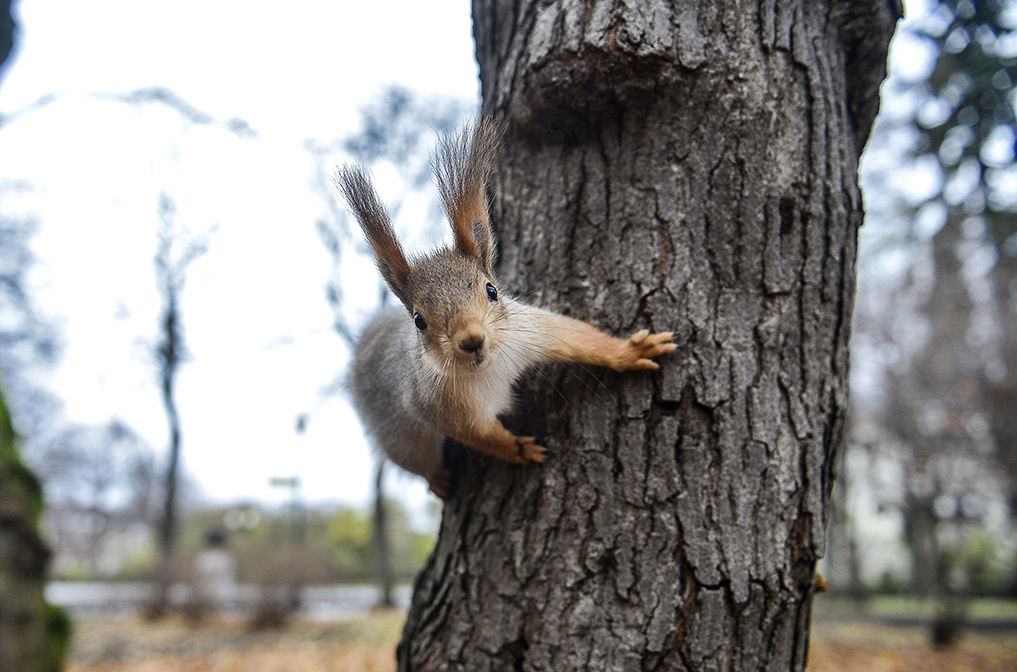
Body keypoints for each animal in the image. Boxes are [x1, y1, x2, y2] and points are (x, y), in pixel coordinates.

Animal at [333, 119, 679, 498]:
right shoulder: (438, 407)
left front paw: (630, 351)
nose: (472, 340)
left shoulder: (529, 331)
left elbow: (578, 337)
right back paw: (436, 479)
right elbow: (482, 436)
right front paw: (518, 449)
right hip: (401, 441)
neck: (488, 367)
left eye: (491, 290)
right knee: (417, 461)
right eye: (419, 320)